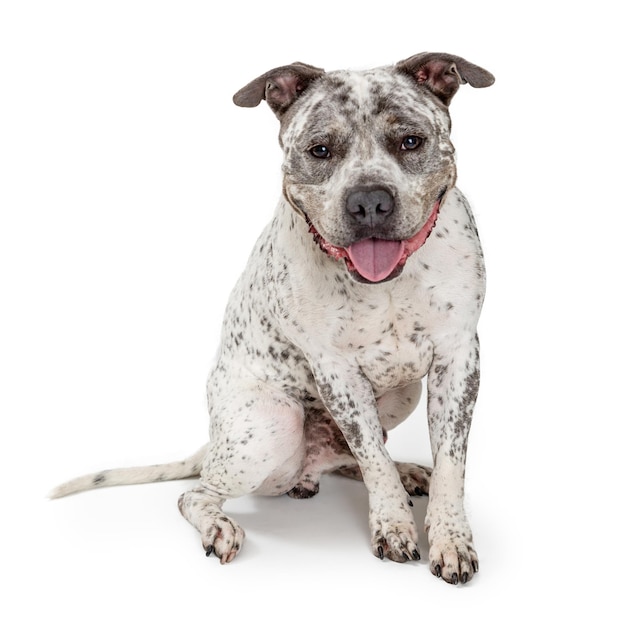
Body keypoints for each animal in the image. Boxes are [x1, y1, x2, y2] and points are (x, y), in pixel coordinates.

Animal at [51, 51, 492, 584]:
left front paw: (449, 538)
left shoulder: (459, 361)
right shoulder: (338, 375)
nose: (369, 200)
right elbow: (372, 458)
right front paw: (392, 524)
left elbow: (448, 464)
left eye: (410, 141)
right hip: (270, 426)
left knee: (352, 457)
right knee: (196, 492)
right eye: (320, 150)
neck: (385, 283)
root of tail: (213, 440)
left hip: (400, 394)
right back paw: (219, 526)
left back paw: (403, 471)